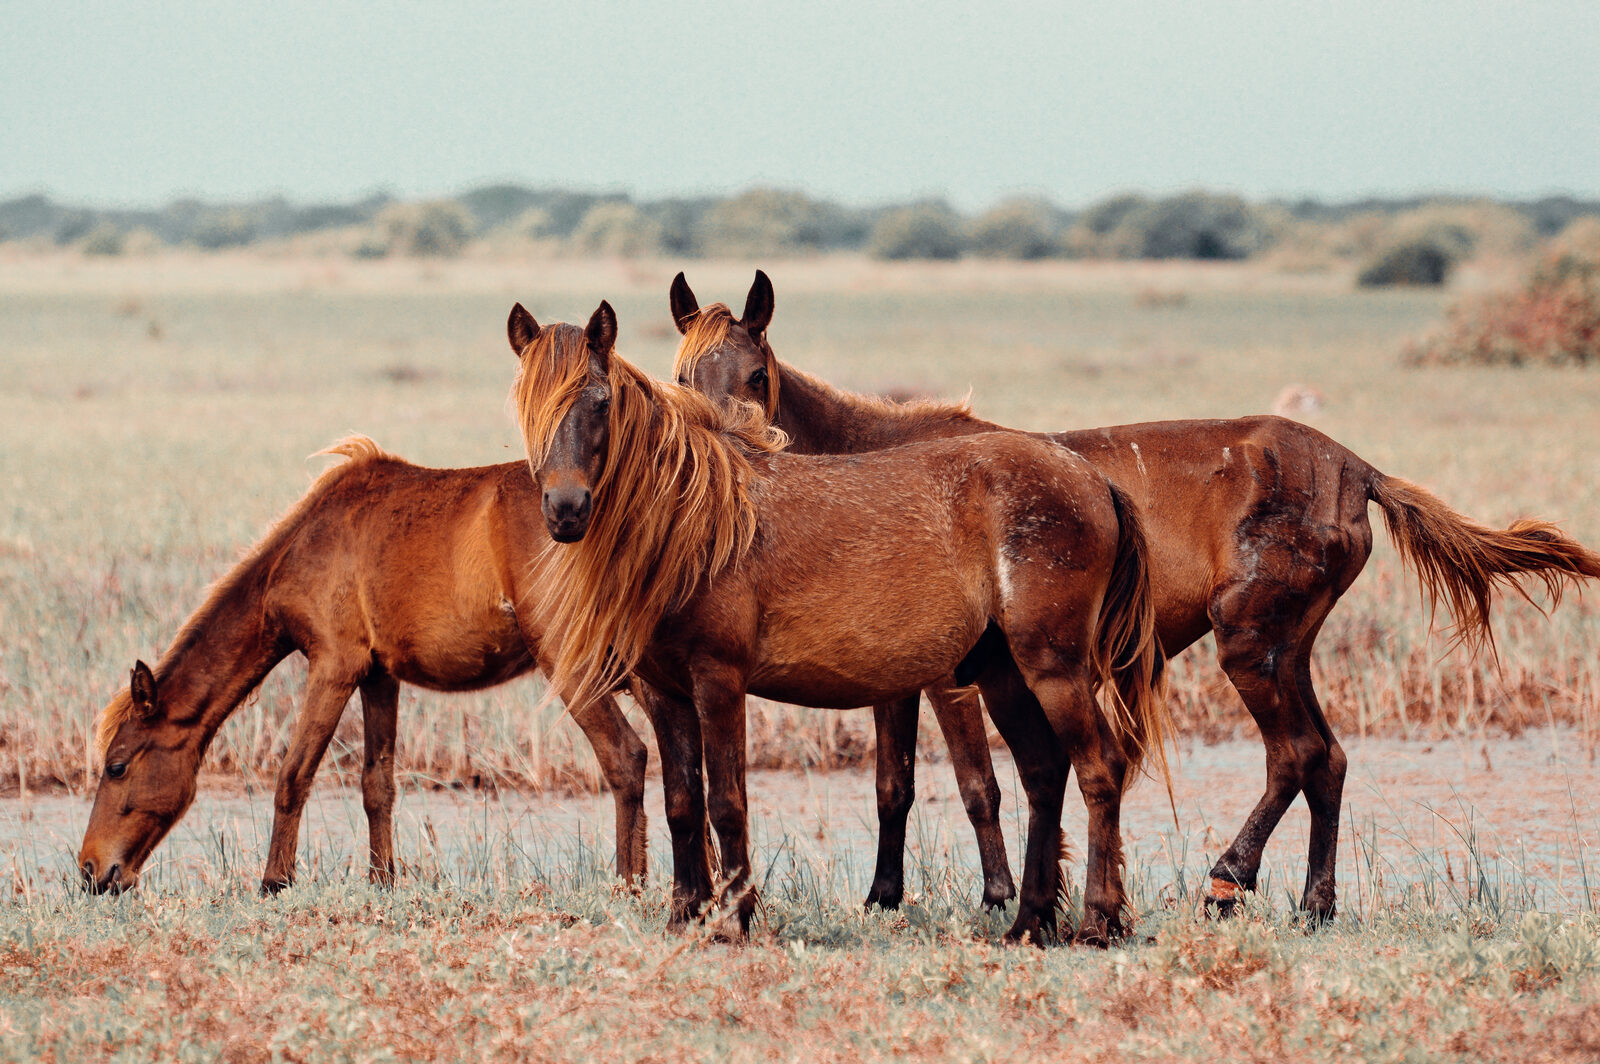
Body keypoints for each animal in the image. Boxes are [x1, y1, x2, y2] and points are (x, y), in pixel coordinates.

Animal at [79, 443, 652, 895]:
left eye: (117, 766)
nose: (89, 870)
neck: (302, 545)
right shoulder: (380, 676)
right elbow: (377, 785)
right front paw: (382, 880)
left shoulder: (334, 666)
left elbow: (293, 775)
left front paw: (274, 882)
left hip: (572, 664)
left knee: (626, 755)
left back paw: (630, 885)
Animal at [511, 299, 1170, 944]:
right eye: (526, 404)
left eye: (600, 402)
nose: (565, 510)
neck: (695, 520)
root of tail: (1092, 478)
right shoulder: (665, 690)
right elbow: (681, 804)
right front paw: (684, 915)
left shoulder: (718, 681)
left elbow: (725, 802)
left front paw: (735, 919)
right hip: (1002, 673)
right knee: (1043, 772)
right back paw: (1029, 921)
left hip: (1054, 669)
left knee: (1099, 768)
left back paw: (1098, 920)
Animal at [669, 269, 1600, 920]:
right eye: (684, 373)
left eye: (755, 372)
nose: (730, 439)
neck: (870, 459)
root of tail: (1353, 465)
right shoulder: (893, 677)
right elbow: (894, 785)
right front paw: (888, 897)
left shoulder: (948, 680)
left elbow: (976, 786)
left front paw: (998, 896)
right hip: (1286, 646)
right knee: (1326, 759)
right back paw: (1314, 902)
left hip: (1246, 644)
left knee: (1296, 754)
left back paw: (1228, 879)